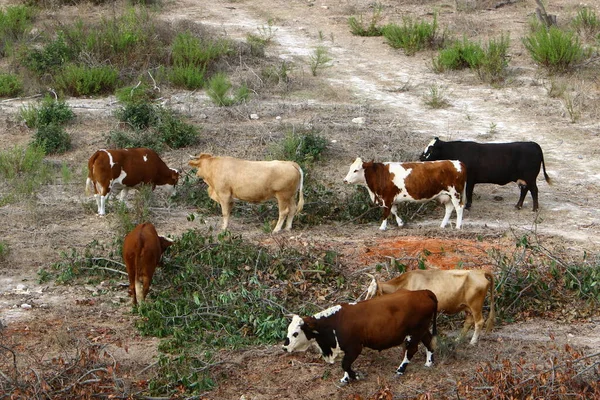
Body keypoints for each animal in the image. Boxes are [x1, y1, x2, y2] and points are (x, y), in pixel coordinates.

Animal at [284, 288, 438, 384]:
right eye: (288, 330)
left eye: (295, 333)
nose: (284, 347)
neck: (334, 323)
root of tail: (423, 292)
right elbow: (346, 365)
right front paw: (346, 379)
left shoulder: (355, 348)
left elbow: (345, 364)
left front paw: (356, 376)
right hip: (422, 330)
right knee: (429, 342)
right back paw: (429, 362)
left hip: (415, 333)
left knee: (411, 350)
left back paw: (401, 369)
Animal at [366, 270, 496, 346]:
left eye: (372, 293)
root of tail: (480, 272)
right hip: (467, 307)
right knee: (468, 322)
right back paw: (458, 340)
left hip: (475, 305)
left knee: (479, 322)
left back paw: (472, 342)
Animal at [420, 138, 552, 211]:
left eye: (431, 149)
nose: (421, 157)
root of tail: (533, 144)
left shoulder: (470, 179)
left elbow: (468, 192)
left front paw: (468, 206)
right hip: (524, 179)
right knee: (525, 190)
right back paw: (518, 206)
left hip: (530, 178)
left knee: (534, 190)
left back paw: (535, 209)